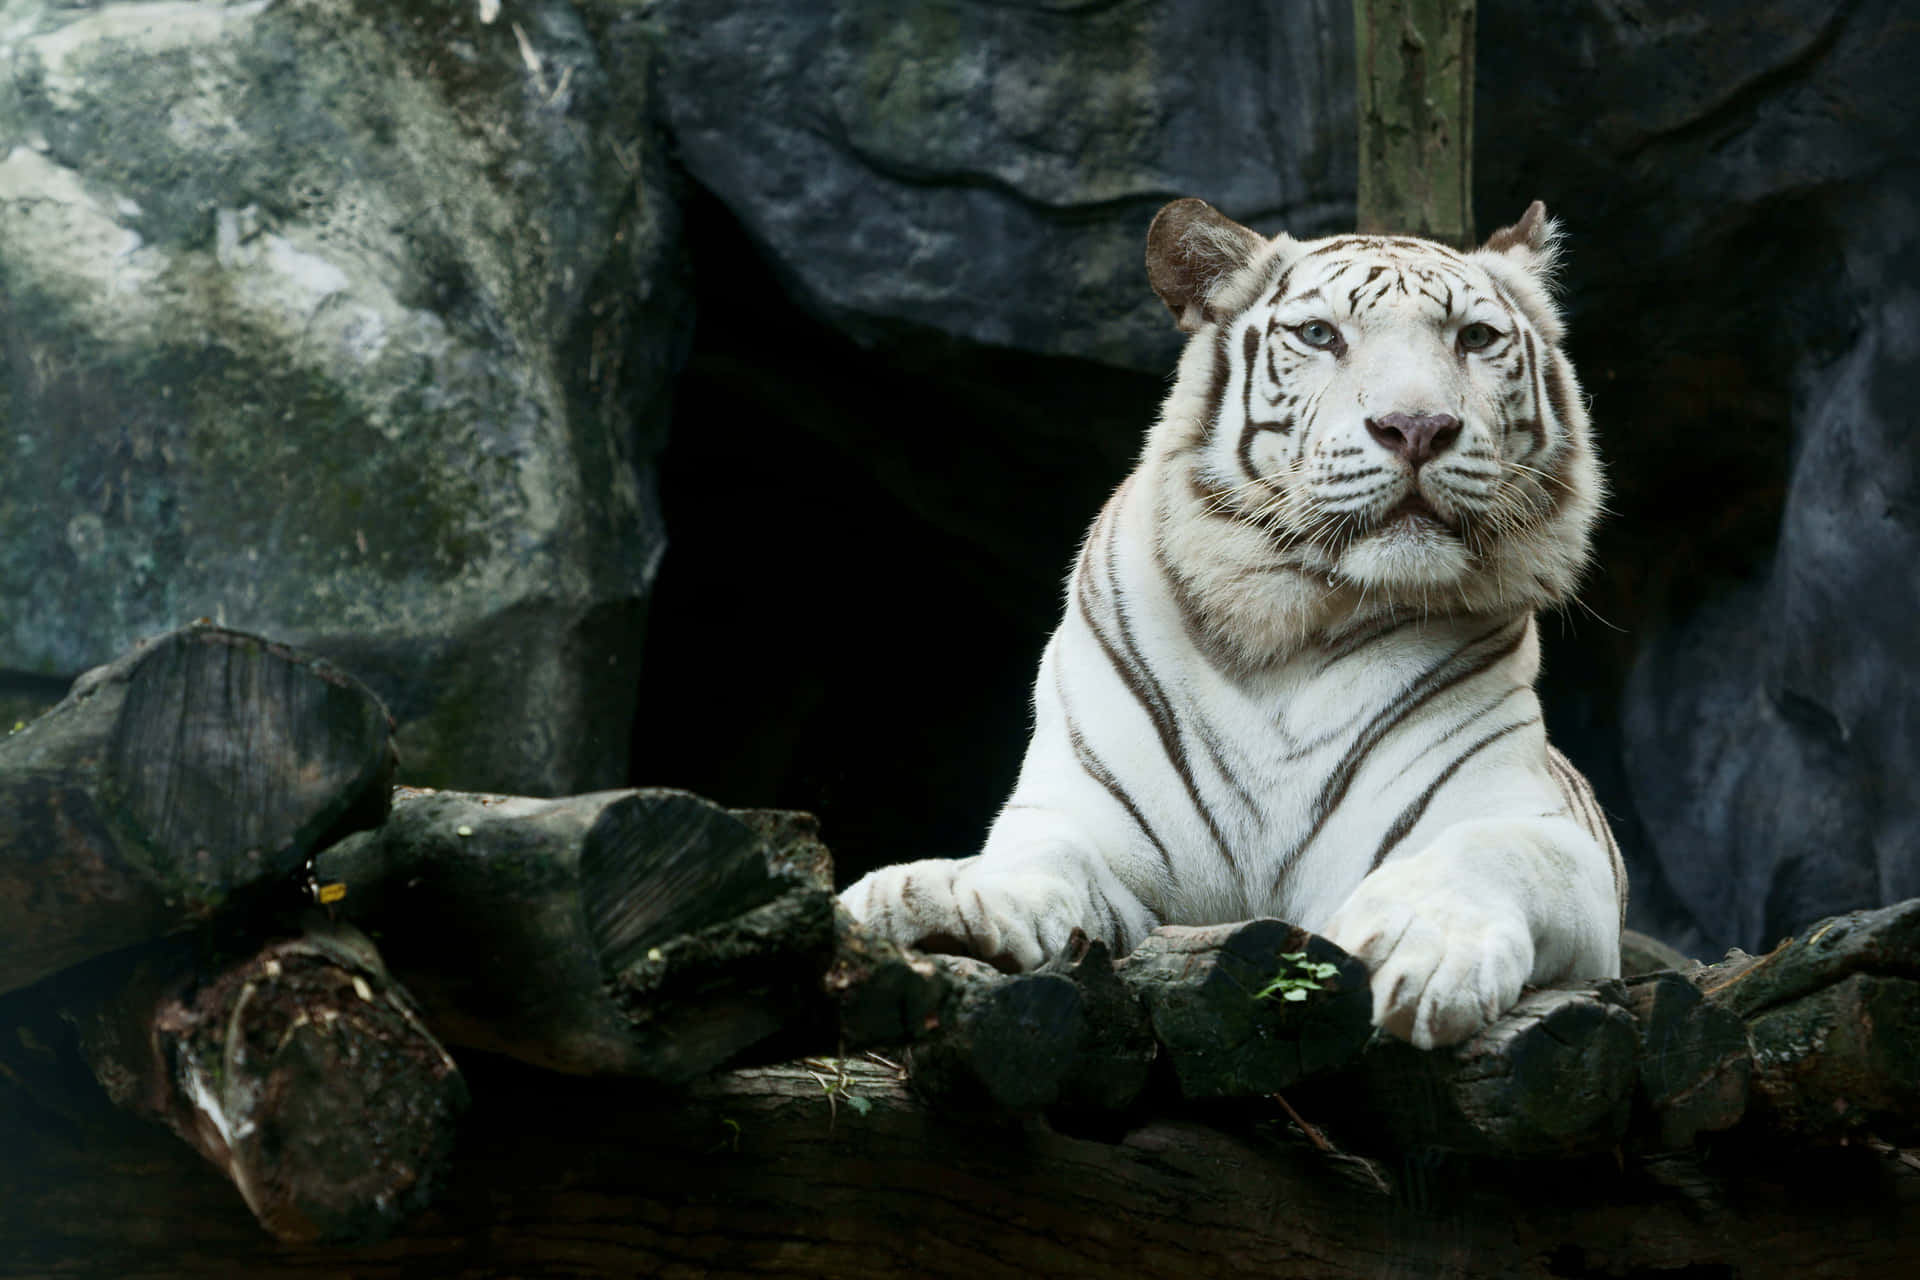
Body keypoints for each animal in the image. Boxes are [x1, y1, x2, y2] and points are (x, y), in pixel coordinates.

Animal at [842, 198, 1625, 1049]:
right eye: (1320, 334)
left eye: (1475, 338)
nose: (1417, 427)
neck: (1290, 631)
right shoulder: (1090, 819)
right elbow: (1036, 861)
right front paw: (934, 902)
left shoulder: (1526, 820)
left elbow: (1487, 851)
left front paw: (1425, 948)